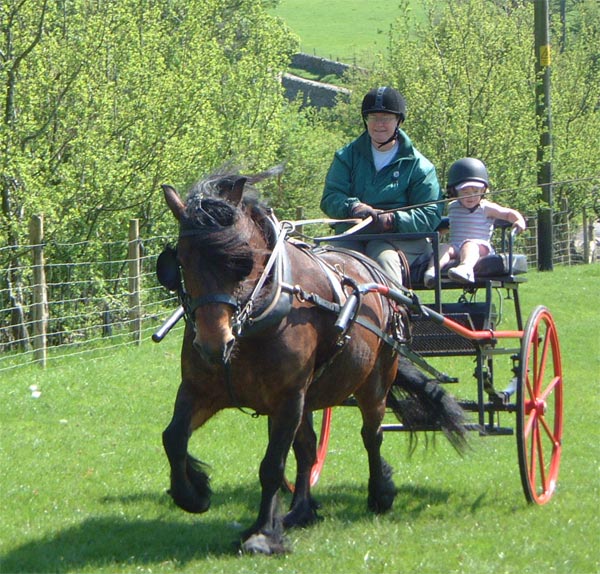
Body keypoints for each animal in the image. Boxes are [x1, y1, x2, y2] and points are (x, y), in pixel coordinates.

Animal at [157, 165, 466, 552]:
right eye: (181, 262)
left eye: (241, 261)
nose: (214, 344)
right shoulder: (201, 390)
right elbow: (173, 438)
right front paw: (193, 493)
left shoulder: (287, 398)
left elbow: (272, 466)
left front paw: (262, 533)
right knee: (307, 450)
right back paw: (301, 509)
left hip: (374, 382)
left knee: (372, 435)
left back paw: (379, 494)